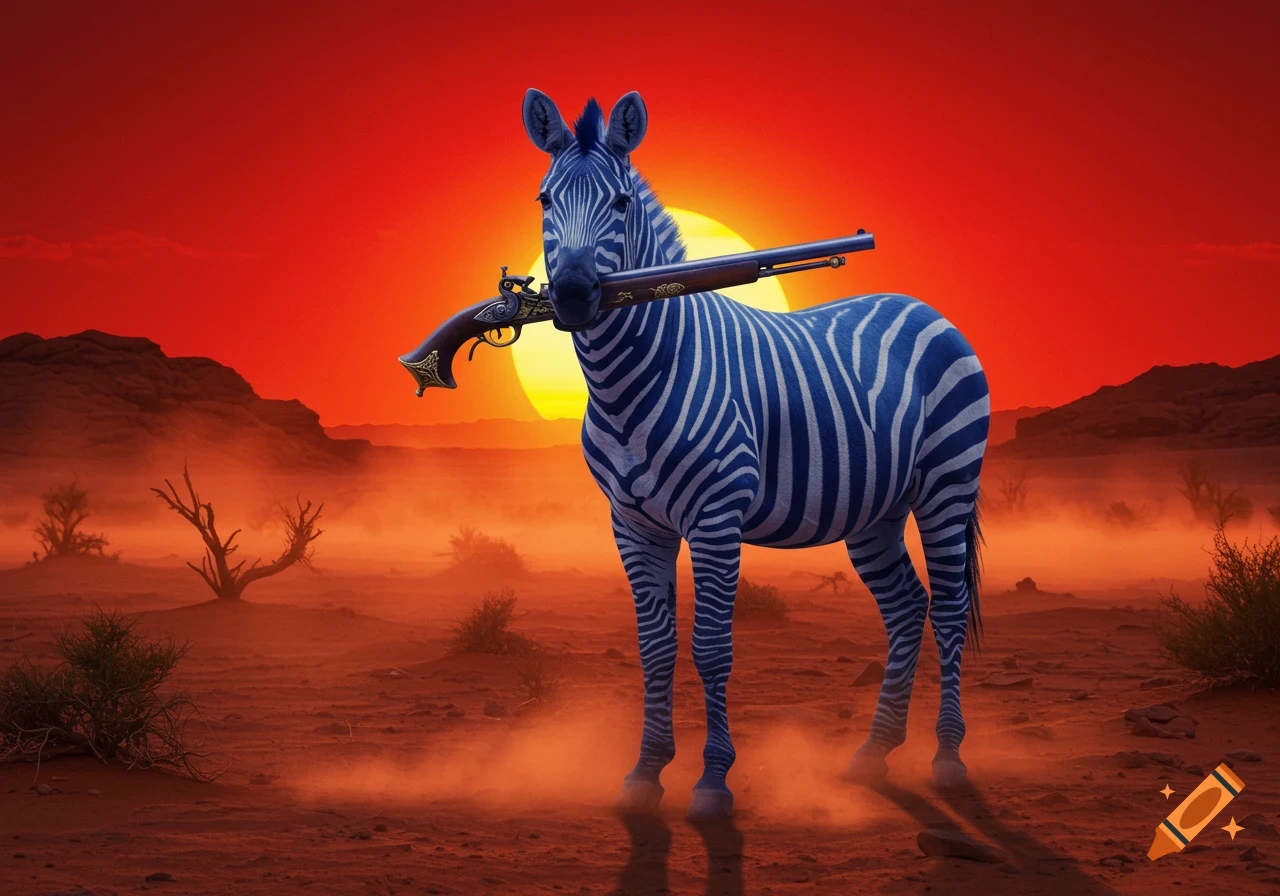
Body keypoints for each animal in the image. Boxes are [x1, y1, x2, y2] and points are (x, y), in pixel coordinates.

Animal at [522, 89, 989, 819]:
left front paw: (713, 781)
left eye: (621, 203)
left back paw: (946, 758)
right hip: (876, 511)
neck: (633, 380)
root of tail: (925, 308)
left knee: (944, 606)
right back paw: (873, 752)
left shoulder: (716, 519)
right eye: (544, 199)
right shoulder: (633, 524)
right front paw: (645, 772)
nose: (570, 296)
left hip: (949, 484)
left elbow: (712, 647)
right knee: (907, 606)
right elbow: (655, 648)